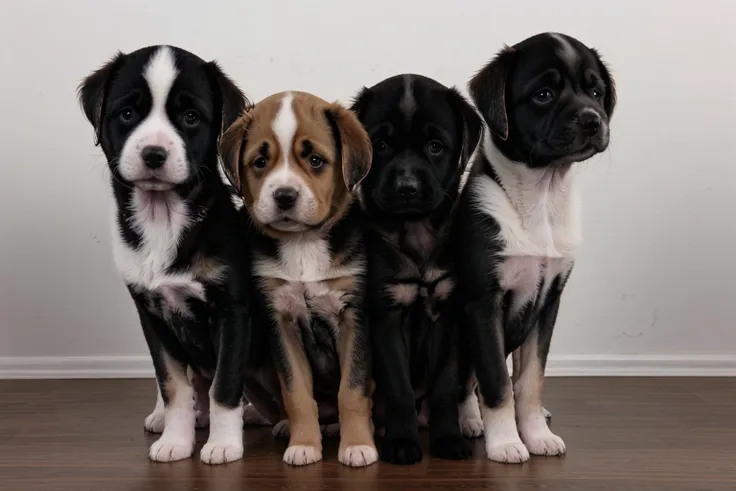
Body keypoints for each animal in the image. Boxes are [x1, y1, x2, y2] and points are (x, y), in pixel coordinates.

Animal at [77, 46, 250, 466]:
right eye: (127, 114)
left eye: (191, 117)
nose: (153, 154)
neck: (162, 218)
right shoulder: (151, 311)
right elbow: (171, 383)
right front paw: (176, 438)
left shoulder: (232, 311)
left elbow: (225, 384)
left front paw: (224, 444)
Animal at [220, 90, 376, 468]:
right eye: (260, 161)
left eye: (316, 161)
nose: (285, 196)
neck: (303, 242)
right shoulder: (281, 321)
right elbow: (296, 392)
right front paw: (304, 443)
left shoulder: (353, 318)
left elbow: (352, 390)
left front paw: (357, 445)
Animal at [350, 76, 484, 466]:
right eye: (380, 145)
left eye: (435, 147)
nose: (406, 187)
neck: (414, 230)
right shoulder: (389, 314)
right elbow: (399, 389)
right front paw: (401, 442)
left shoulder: (447, 316)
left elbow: (444, 386)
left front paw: (449, 439)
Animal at [454, 34, 616, 466]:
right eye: (544, 94)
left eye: (596, 91)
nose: (594, 119)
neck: (541, 195)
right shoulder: (484, 303)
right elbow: (496, 382)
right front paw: (506, 442)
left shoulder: (548, 302)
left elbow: (529, 380)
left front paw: (536, 434)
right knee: (466, 383)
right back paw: (469, 421)